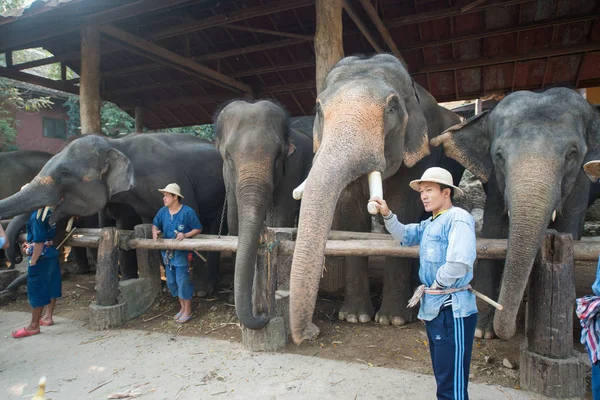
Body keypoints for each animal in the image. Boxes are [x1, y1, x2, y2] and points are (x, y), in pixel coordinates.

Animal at [0, 133, 225, 292]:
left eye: (64, 174)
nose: (18, 258)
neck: (116, 144)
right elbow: (136, 229)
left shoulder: (172, 181)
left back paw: (205, 289)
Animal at [213, 99, 312, 328]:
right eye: (228, 156)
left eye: (278, 155)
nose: (262, 316)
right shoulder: (226, 176)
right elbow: (233, 221)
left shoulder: (292, 169)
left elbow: (280, 217)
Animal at [286, 53, 464, 344]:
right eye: (319, 110)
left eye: (392, 108)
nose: (312, 333)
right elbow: (352, 216)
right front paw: (354, 317)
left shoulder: (418, 152)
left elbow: (404, 207)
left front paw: (393, 320)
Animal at [434, 86, 600, 338]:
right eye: (499, 155)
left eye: (572, 154)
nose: (510, 326)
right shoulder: (495, 181)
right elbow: (493, 232)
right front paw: (482, 331)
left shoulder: (581, 181)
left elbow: (570, 228)